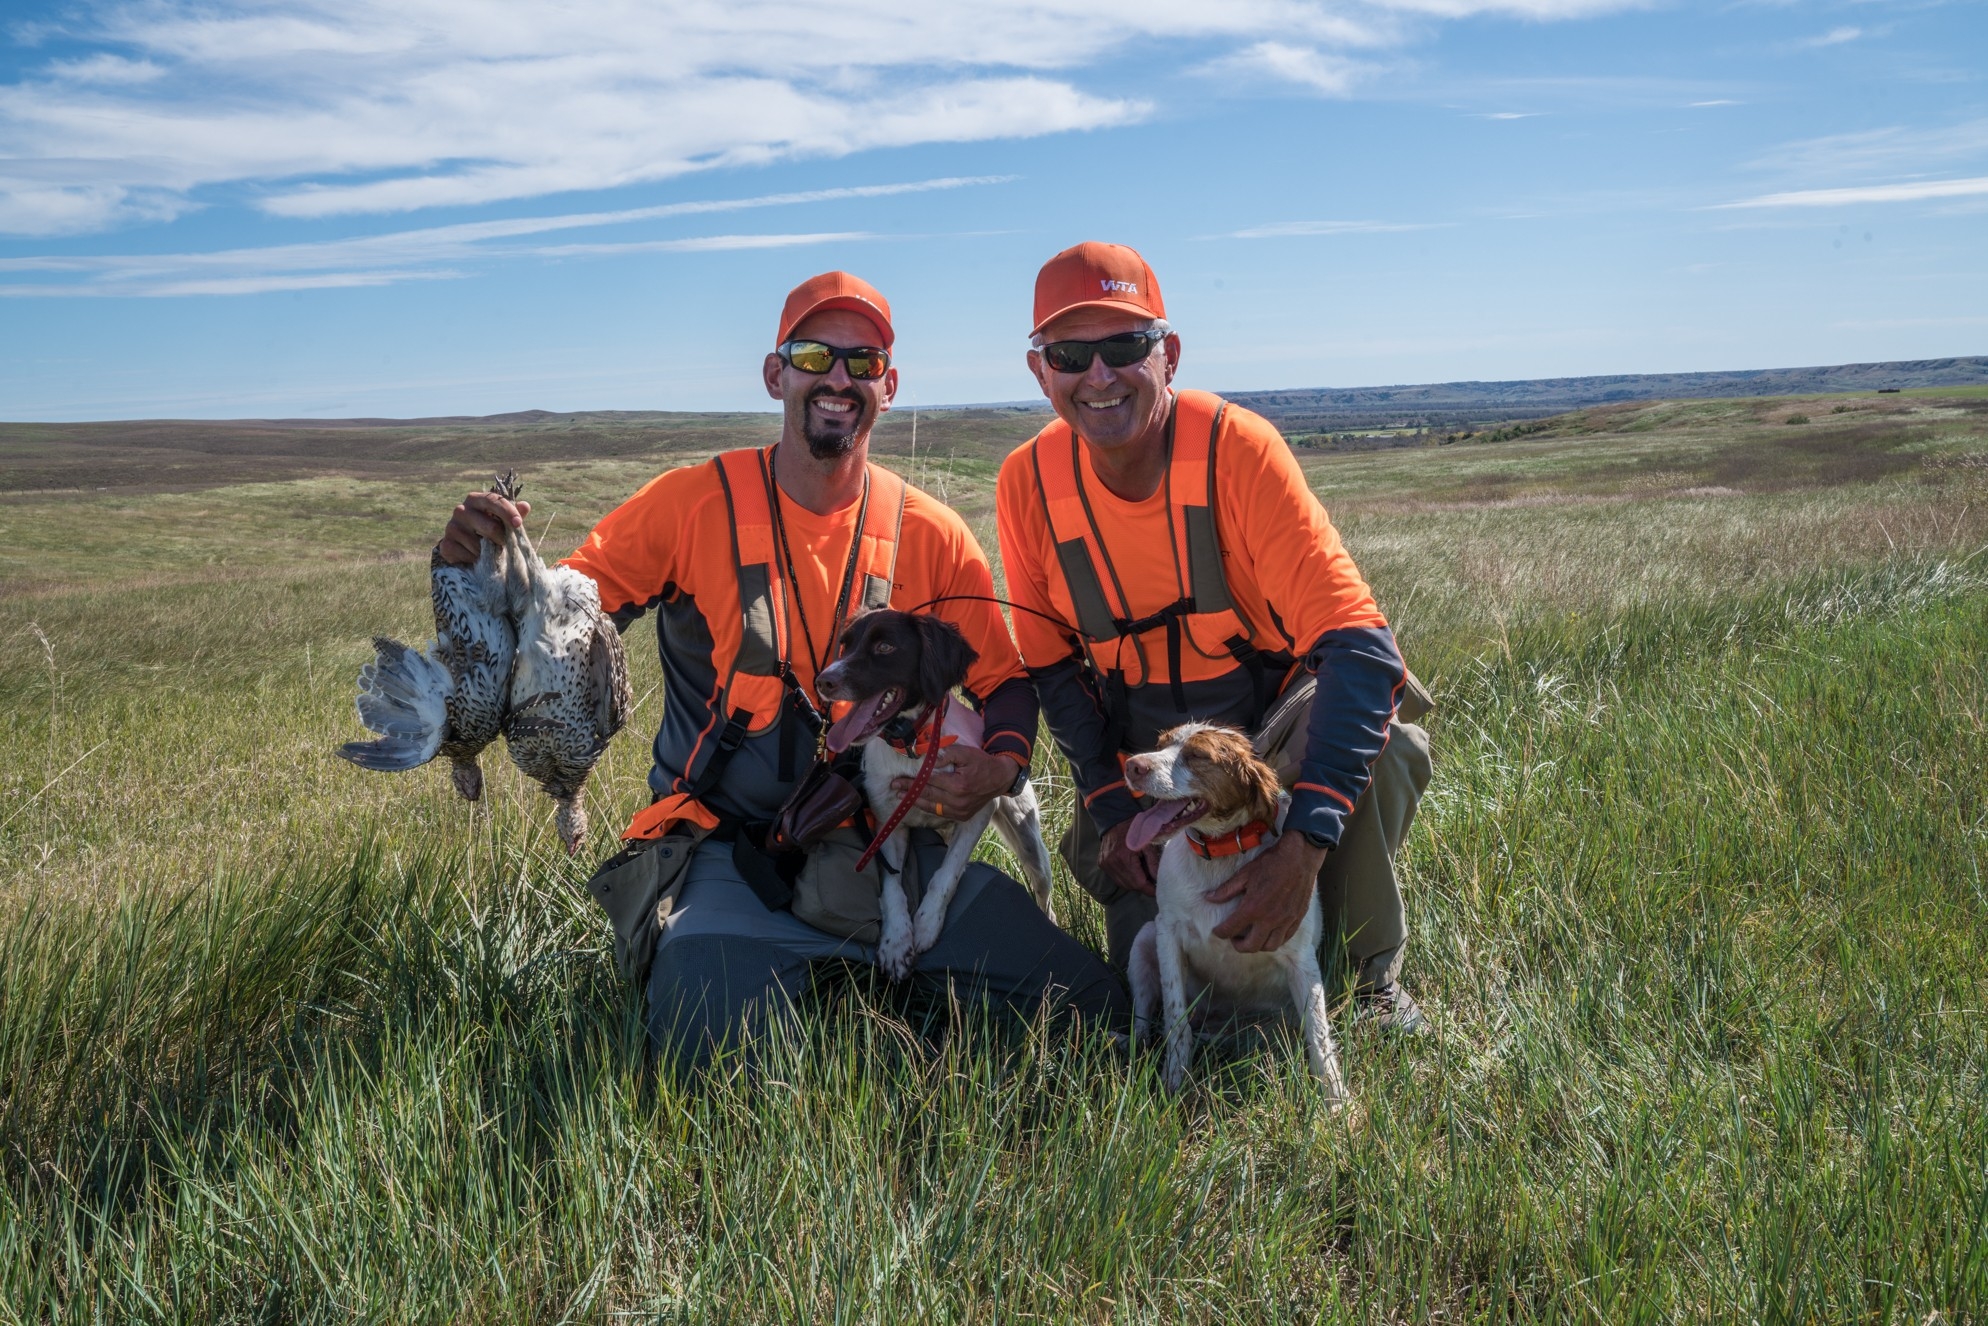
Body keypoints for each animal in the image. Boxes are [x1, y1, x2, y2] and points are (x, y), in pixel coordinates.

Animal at [811, 608, 1057, 974]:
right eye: (846, 644)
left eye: (885, 646)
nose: (823, 681)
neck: (916, 744)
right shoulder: (888, 822)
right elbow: (892, 887)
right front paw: (896, 941)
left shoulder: (976, 809)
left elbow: (947, 873)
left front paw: (927, 923)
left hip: (1028, 839)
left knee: (1042, 887)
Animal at [1121, 727, 1351, 1097]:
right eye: (1160, 745)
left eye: (1198, 756)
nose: (1132, 766)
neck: (1219, 853)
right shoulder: (1167, 934)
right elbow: (1175, 1020)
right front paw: (1173, 1085)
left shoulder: (1300, 958)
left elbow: (1319, 1037)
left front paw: (1337, 1101)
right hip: (1144, 939)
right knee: (1144, 1023)